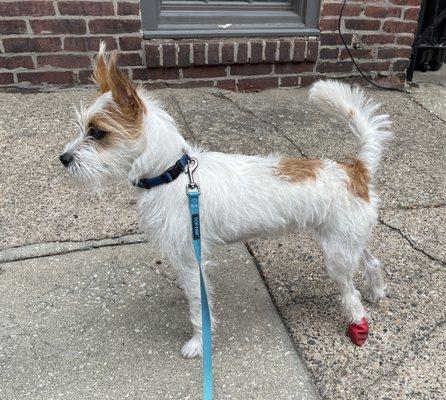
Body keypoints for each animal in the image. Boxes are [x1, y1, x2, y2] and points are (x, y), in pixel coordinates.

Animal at [60, 45, 390, 358]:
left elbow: (198, 307)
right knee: (372, 261)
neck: (172, 173)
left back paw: (358, 324)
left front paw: (198, 343)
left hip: (337, 254)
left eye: (98, 133)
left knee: (351, 294)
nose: (63, 159)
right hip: (346, 241)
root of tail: (356, 169)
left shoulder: (191, 258)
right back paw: (377, 292)